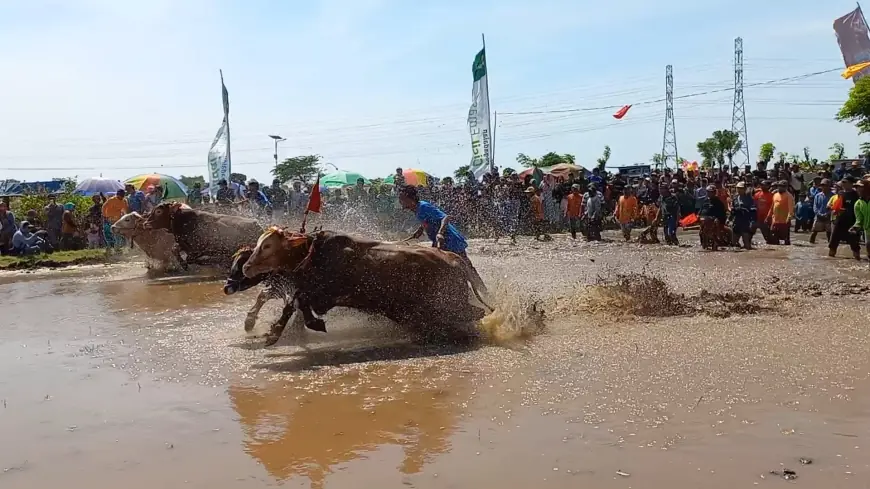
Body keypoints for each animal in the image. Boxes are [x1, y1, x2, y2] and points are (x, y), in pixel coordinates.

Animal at [242, 227, 494, 346]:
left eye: (267, 246)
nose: (246, 267)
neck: (314, 253)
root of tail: (454, 258)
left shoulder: (324, 295)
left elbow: (297, 303)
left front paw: (275, 333)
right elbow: (293, 304)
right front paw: (272, 332)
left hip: (449, 302)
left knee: (475, 313)